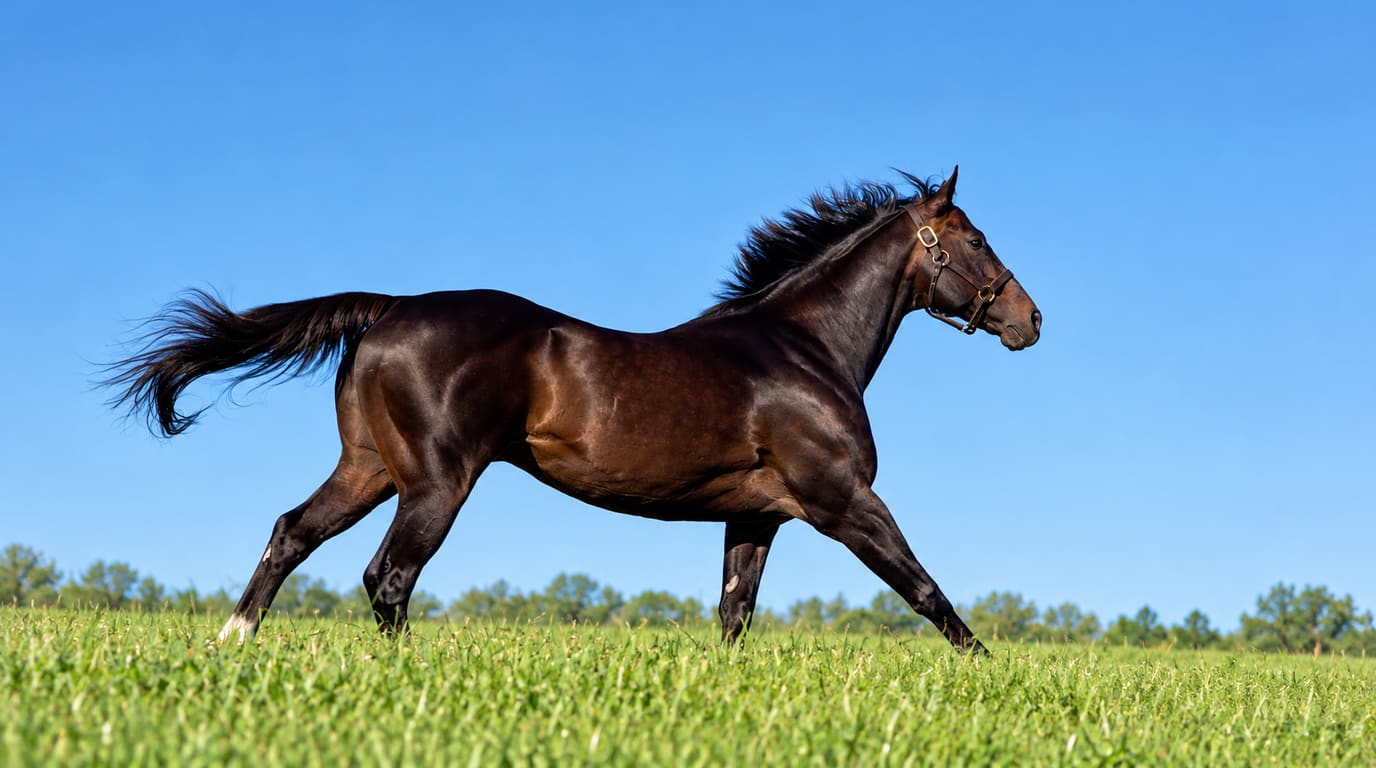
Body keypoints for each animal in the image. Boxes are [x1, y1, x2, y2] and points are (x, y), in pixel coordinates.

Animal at [105, 167, 1041, 653]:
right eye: (975, 239)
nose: (1030, 321)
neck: (801, 349)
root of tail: (392, 309)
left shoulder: (755, 518)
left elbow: (734, 615)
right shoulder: (843, 501)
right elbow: (925, 589)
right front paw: (987, 671)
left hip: (369, 468)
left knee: (293, 533)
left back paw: (235, 640)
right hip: (437, 481)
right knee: (388, 576)